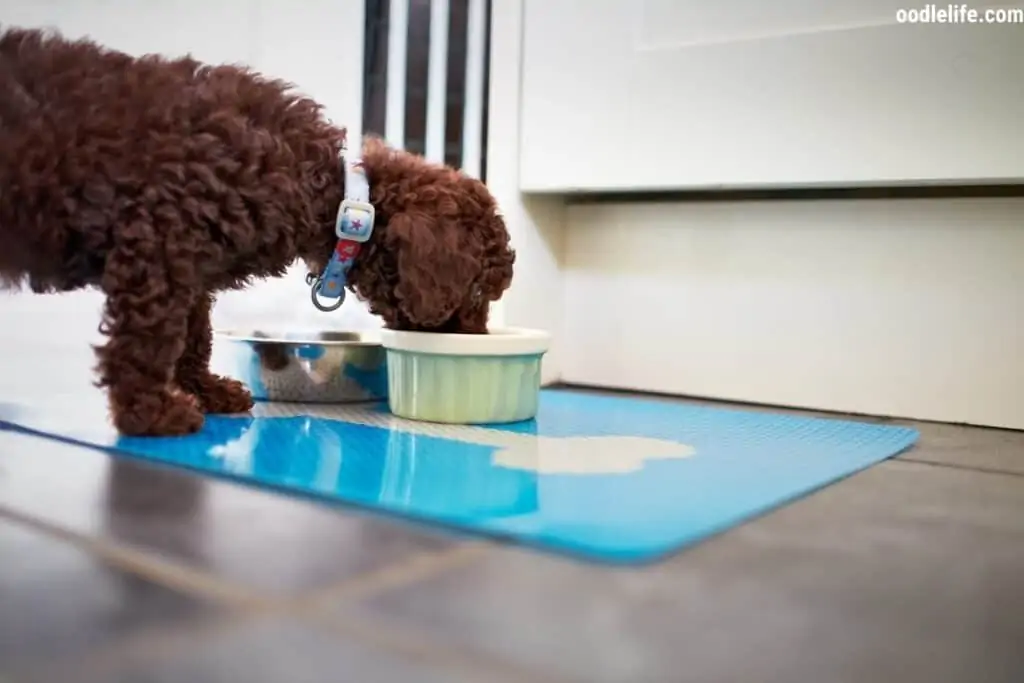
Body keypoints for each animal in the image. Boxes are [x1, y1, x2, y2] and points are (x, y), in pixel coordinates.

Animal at [0, 29, 512, 436]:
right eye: (477, 293)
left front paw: (204, 390)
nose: (480, 337)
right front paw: (151, 414)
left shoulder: (190, 268)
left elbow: (194, 336)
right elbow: (149, 341)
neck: (335, 196)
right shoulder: (158, 250)